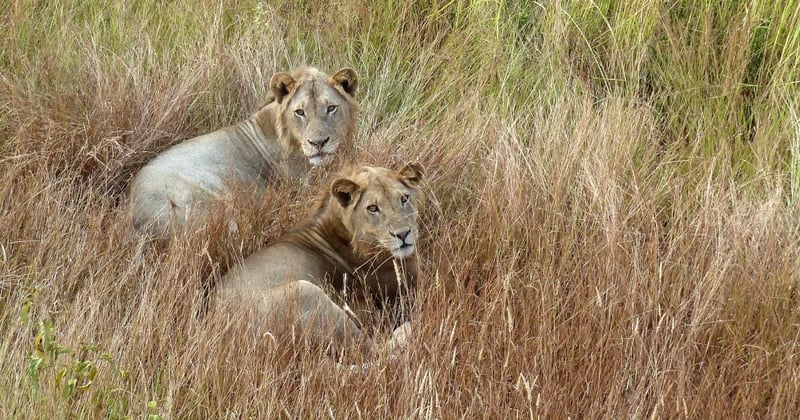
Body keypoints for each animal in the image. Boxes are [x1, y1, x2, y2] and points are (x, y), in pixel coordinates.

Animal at [214, 163, 424, 351]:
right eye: (372, 208)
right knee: (373, 351)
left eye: (404, 198)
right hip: (307, 292)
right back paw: (406, 330)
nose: (403, 234)